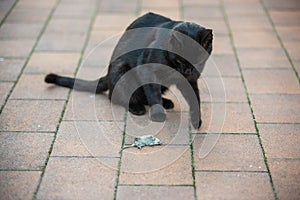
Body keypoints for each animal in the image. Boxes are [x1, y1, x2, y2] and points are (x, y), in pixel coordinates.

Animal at [45, 12, 213, 128]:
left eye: (199, 61)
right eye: (179, 60)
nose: (189, 71)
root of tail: (108, 74)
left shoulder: (189, 81)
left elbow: (195, 98)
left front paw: (196, 120)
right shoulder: (146, 69)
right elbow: (153, 93)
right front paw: (158, 114)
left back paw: (166, 102)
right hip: (123, 71)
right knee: (116, 96)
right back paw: (137, 107)